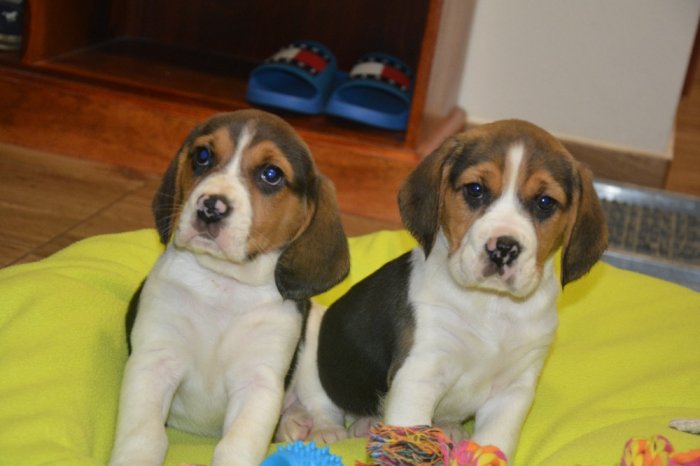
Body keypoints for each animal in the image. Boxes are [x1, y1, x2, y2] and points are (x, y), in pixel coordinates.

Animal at [108, 110, 350, 466]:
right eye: (202, 156)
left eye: (271, 174)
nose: (211, 207)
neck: (222, 284)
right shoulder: (154, 362)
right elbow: (144, 437)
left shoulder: (258, 381)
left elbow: (236, 445)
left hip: (316, 344)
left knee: (321, 402)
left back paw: (320, 429)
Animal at [277, 119, 608, 461]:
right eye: (475, 190)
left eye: (545, 203)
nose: (503, 248)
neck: (492, 305)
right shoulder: (420, 373)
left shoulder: (513, 390)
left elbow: (494, 442)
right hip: (314, 352)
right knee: (322, 403)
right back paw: (326, 430)